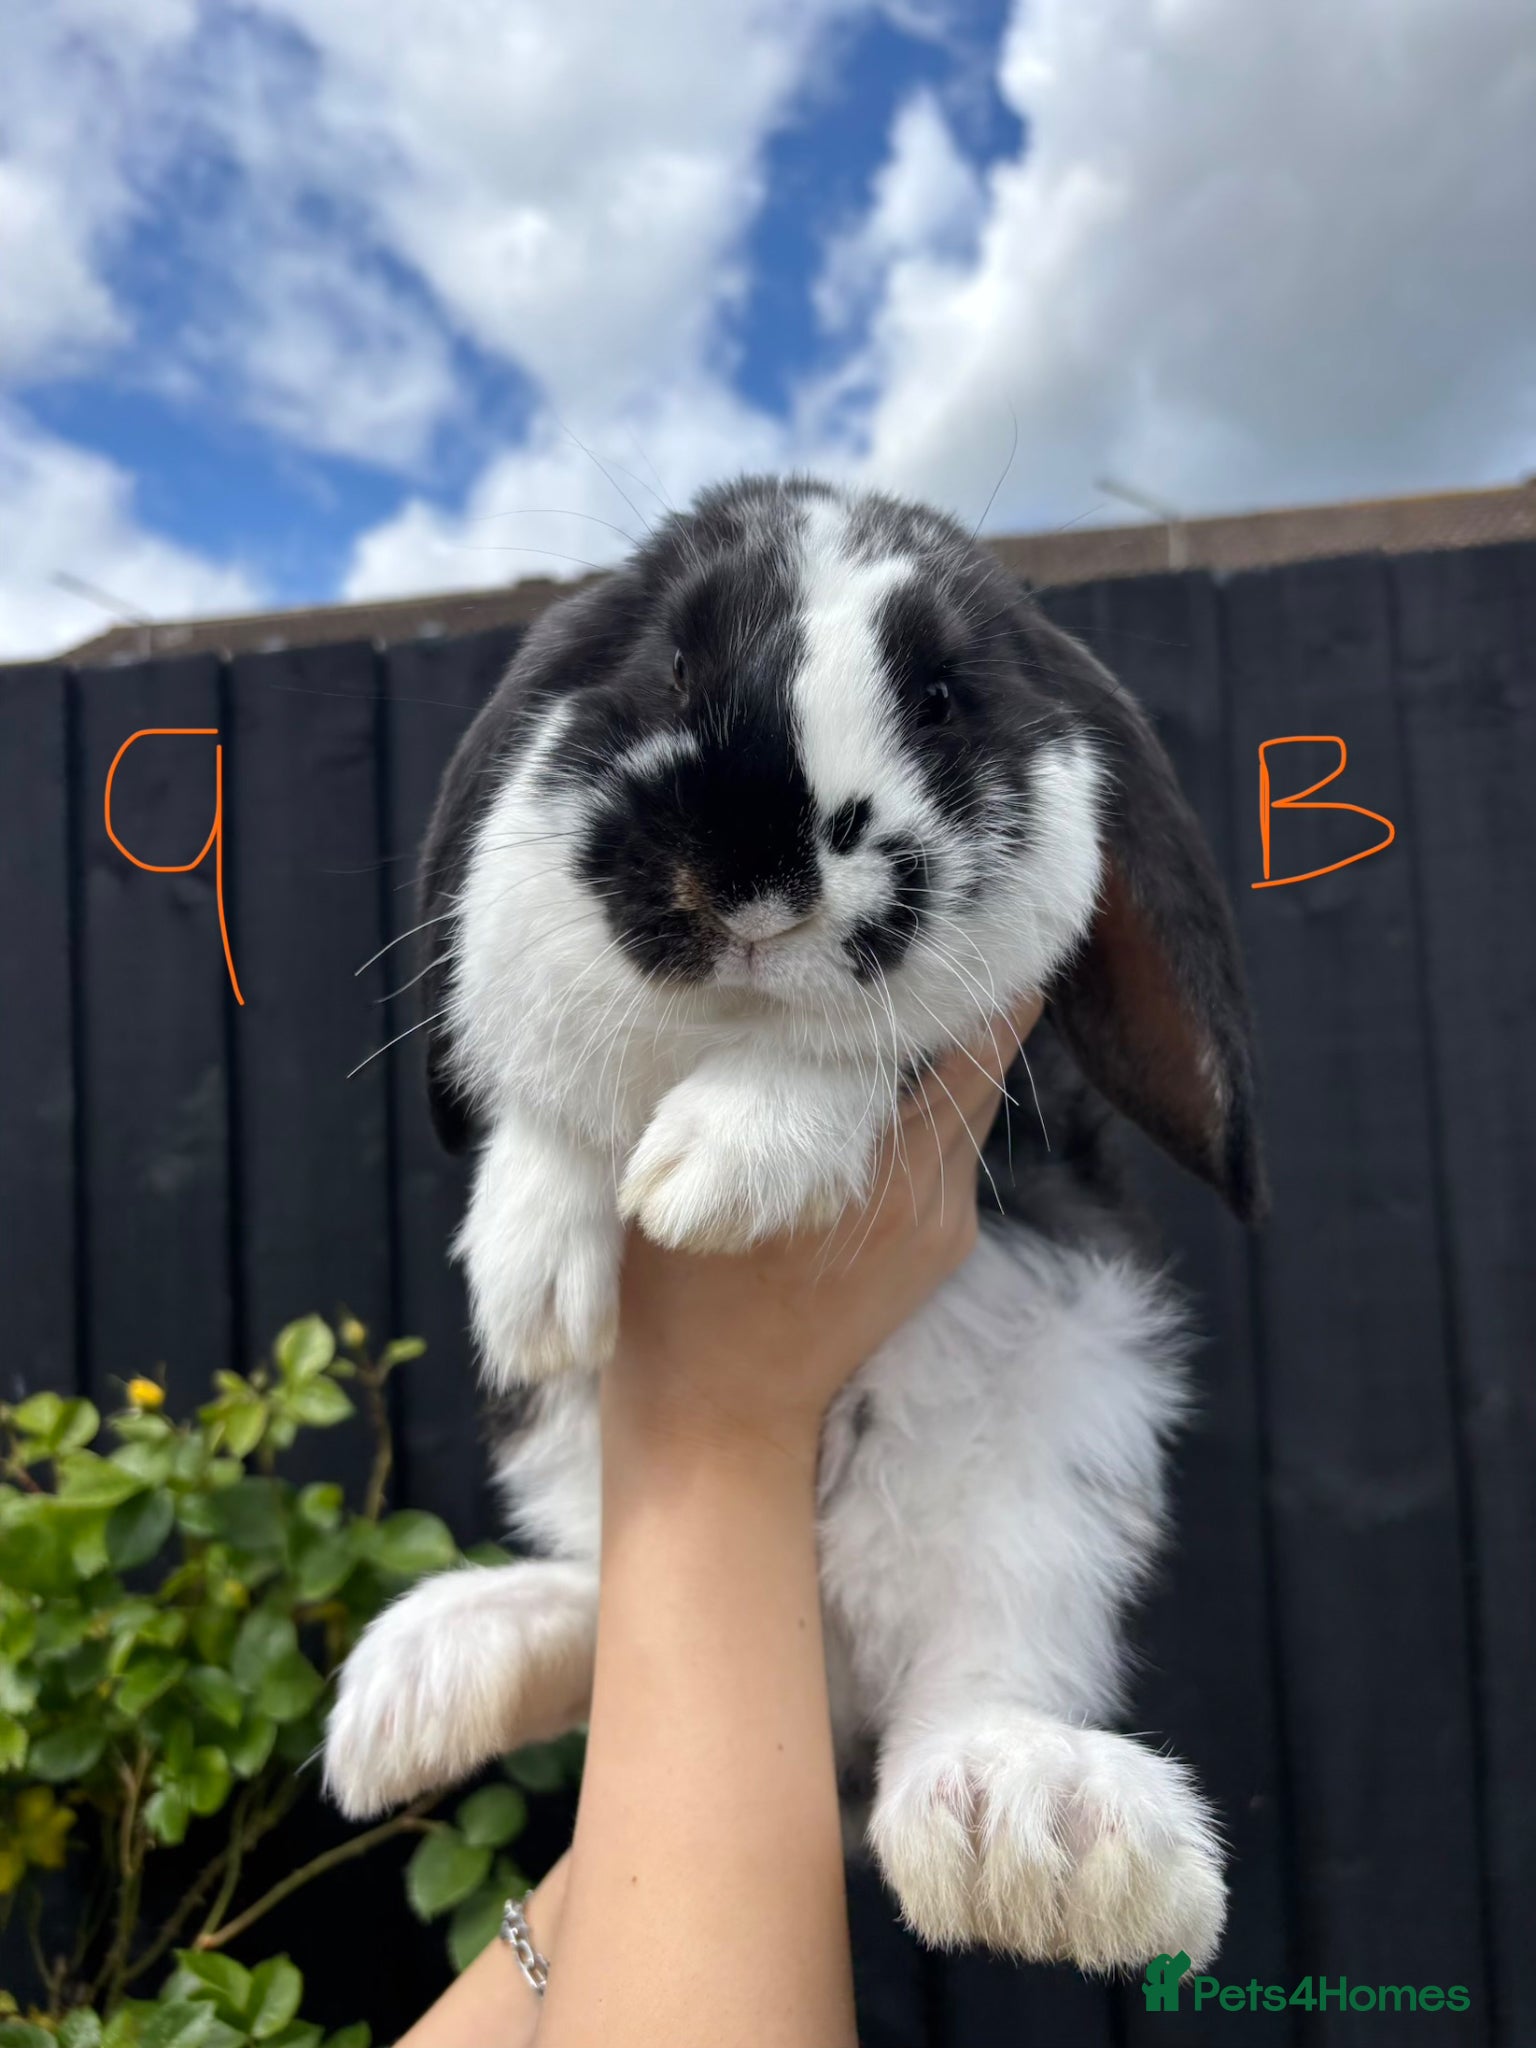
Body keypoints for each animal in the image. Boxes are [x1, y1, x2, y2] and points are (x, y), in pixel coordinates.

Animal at [323, 472, 1265, 1974]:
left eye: (940, 694)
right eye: (668, 660)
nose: (752, 871)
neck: (720, 1024)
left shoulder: (969, 1047)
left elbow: (848, 1053)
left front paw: (721, 1162)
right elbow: (549, 1092)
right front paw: (529, 1273)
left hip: (1054, 1467)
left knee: (974, 1678)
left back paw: (1033, 1818)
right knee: (602, 1598)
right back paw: (431, 1673)